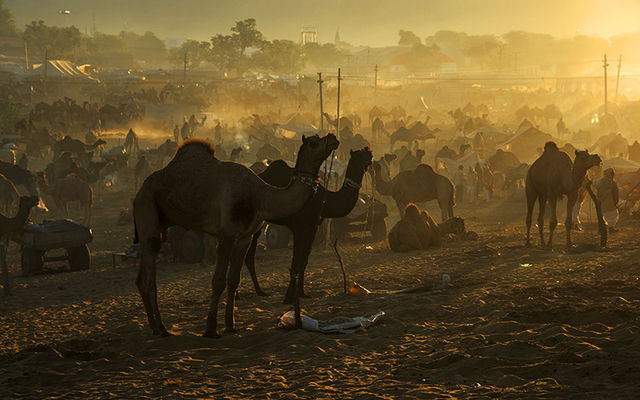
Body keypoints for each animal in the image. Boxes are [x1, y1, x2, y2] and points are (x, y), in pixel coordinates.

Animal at [134, 134, 340, 338]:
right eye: (314, 142)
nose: (333, 138)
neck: (260, 196)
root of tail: (138, 192)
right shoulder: (226, 235)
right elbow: (218, 281)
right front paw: (211, 329)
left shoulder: (244, 237)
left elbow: (233, 279)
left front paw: (230, 325)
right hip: (147, 210)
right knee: (150, 278)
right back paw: (162, 329)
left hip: (161, 226)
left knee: (141, 278)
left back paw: (153, 327)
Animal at [245, 146, 376, 296]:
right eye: (360, 156)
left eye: (367, 154)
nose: (371, 157)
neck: (325, 200)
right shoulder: (299, 226)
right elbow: (296, 260)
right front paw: (294, 293)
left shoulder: (313, 226)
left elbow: (305, 259)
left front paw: (303, 292)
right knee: (247, 254)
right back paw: (257, 291)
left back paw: (257, 291)